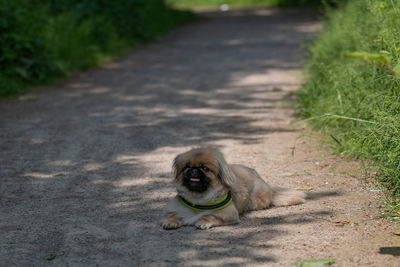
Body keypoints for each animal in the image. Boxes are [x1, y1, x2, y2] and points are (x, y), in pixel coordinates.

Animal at [161, 147, 304, 230]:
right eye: (186, 167)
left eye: (205, 168)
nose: (194, 170)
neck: (198, 198)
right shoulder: (174, 208)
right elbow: (171, 215)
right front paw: (170, 222)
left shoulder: (230, 214)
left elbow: (211, 216)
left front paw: (203, 221)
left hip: (256, 201)